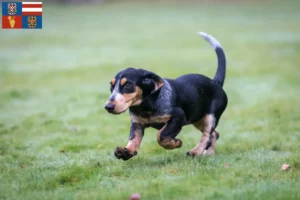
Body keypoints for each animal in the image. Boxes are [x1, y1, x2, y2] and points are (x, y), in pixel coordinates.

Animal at [104, 32, 226, 160]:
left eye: (128, 85)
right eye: (111, 86)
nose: (108, 107)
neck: (146, 106)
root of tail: (215, 82)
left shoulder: (178, 116)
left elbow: (161, 135)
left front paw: (175, 143)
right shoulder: (137, 123)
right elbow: (134, 138)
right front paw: (127, 152)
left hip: (210, 116)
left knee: (207, 135)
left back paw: (195, 152)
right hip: (197, 117)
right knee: (214, 134)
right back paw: (209, 153)